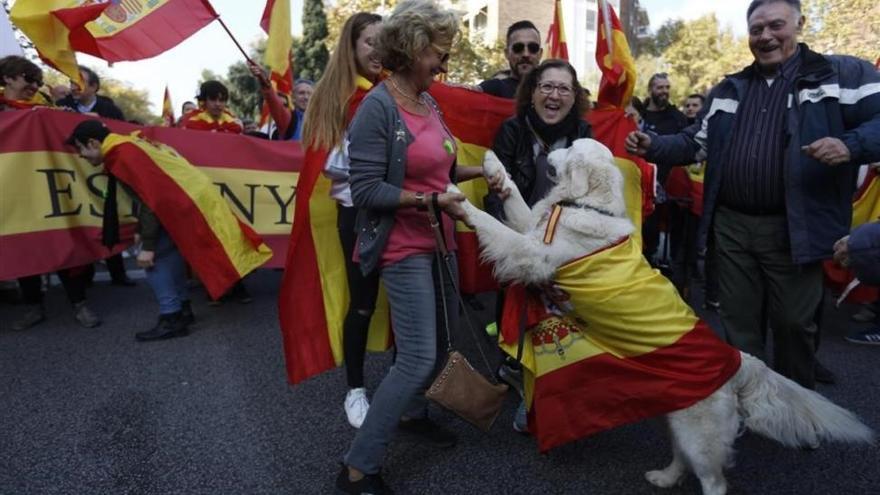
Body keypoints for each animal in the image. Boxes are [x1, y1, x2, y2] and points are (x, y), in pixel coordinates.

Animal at [450, 139, 876, 495]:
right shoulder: (532, 232)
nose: (546, 148)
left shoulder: (531, 255)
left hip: (700, 435)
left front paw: (458, 202)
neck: (586, 205)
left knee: (713, 480)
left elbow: (495, 228)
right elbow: (517, 202)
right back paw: (664, 477)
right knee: (680, 460)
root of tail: (739, 361)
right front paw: (492, 166)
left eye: (569, 147)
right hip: (677, 416)